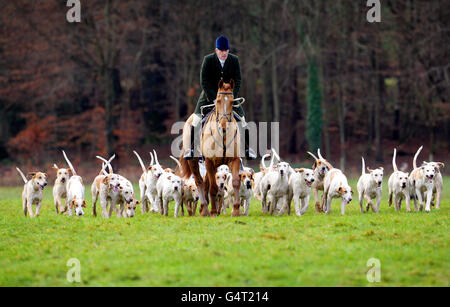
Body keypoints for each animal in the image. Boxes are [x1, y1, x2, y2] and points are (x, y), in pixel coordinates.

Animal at [178, 80, 244, 218]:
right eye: (218, 100)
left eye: (232, 101)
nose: (224, 126)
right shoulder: (209, 161)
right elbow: (213, 187)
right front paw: (213, 211)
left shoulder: (234, 160)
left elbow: (236, 182)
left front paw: (236, 210)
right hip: (194, 161)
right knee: (200, 182)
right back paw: (205, 209)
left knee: (205, 182)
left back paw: (203, 208)